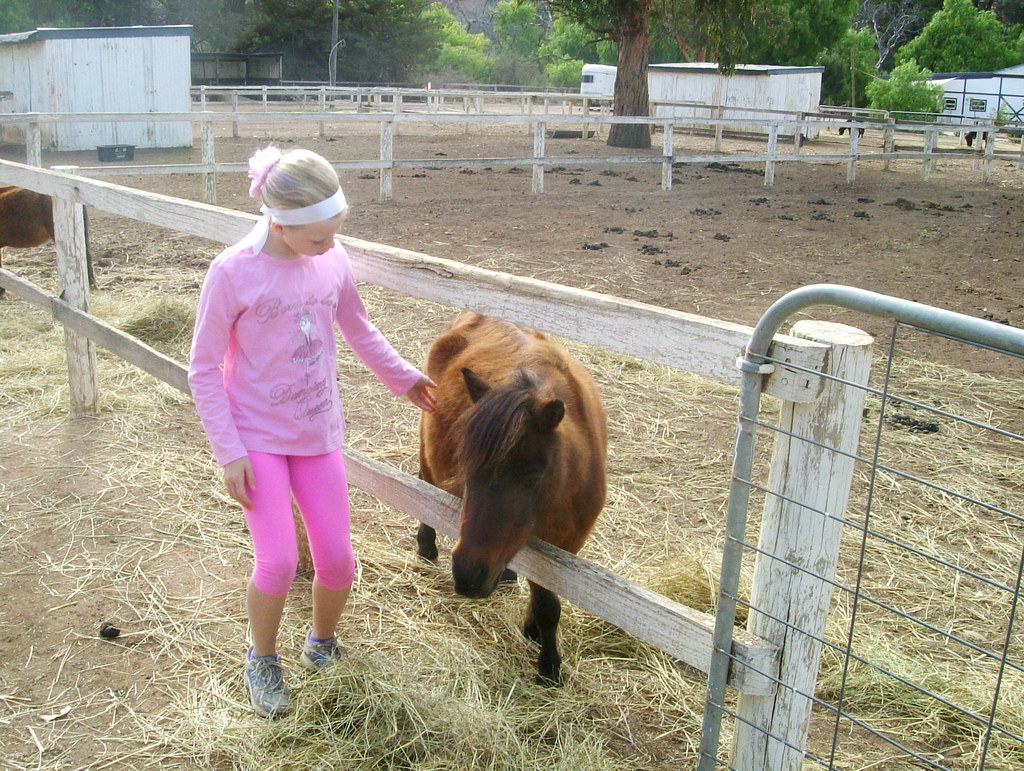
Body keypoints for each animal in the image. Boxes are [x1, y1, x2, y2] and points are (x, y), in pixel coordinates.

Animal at [417, 312, 608, 685]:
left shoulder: (567, 545)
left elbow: (547, 599)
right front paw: (549, 665)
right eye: (467, 470)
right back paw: (426, 545)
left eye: (534, 477)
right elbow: (548, 606)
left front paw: (536, 635)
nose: (468, 574)